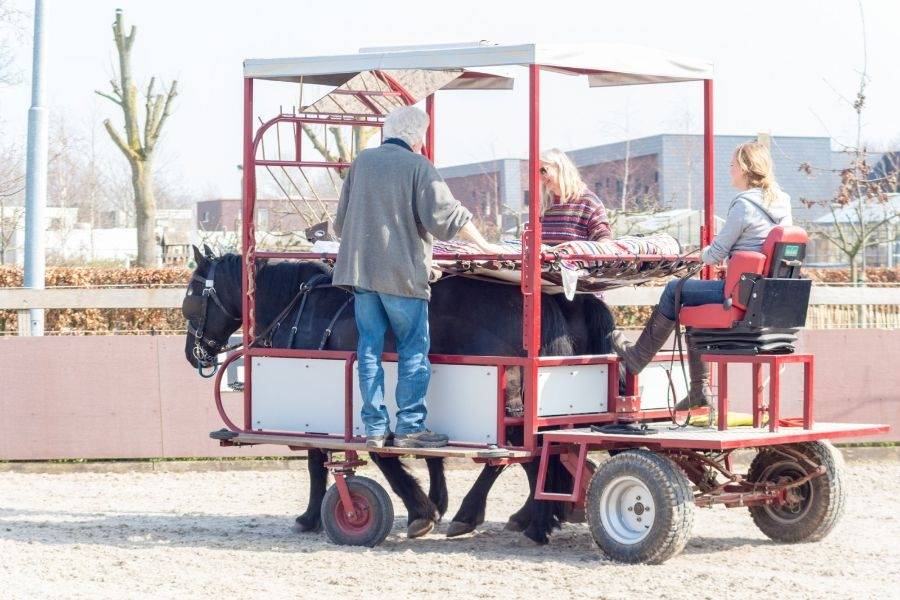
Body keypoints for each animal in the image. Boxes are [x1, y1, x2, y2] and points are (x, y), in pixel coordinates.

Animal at [185, 246, 620, 540]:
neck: (300, 308)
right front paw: (434, 502)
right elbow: (426, 452)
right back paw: (530, 516)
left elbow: (340, 459)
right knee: (543, 453)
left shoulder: (336, 406)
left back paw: (494, 516)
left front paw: (407, 510)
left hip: (512, 402)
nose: (194, 353)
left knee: (522, 455)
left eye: (190, 298)